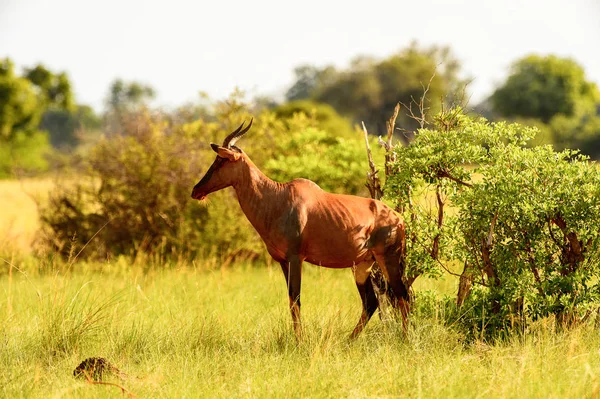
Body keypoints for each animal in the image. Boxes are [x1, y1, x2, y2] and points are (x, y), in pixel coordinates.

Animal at [190, 120, 410, 340]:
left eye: (221, 160)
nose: (196, 190)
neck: (277, 198)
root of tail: (399, 219)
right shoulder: (282, 261)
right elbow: (290, 300)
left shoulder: (296, 258)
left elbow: (296, 299)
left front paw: (300, 341)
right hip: (362, 264)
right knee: (371, 301)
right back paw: (349, 340)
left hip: (387, 258)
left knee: (402, 295)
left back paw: (405, 338)